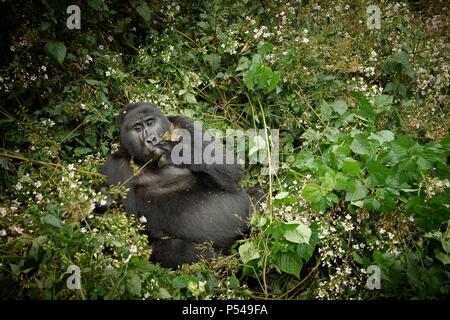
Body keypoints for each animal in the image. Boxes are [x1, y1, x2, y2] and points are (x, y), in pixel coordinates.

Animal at [98, 102, 255, 268]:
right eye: (138, 128)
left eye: (150, 122)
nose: (151, 139)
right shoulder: (114, 167)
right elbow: (131, 236)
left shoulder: (185, 123)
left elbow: (230, 168)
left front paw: (175, 152)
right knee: (169, 249)